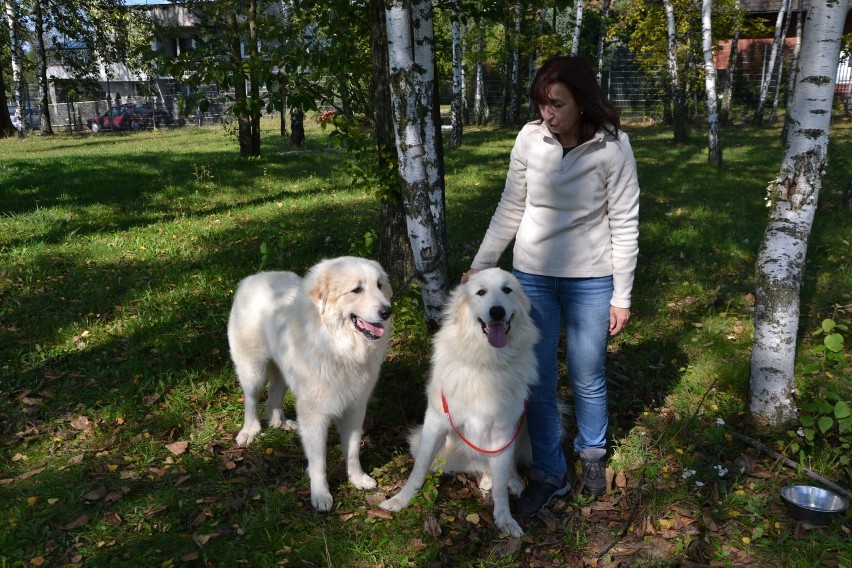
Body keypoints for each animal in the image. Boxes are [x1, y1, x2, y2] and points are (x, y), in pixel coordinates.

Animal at [230, 255, 396, 512]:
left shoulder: (355, 408)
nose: (387, 311)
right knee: (252, 399)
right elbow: (318, 460)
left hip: (281, 369)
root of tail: (252, 278)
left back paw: (281, 422)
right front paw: (321, 495)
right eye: (357, 290)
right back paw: (250, 431)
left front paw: (357, 478)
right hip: (253, 368)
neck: (338, 345)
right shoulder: (315, 413)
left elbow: (353, 450)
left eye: (379, 286)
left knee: (274, 392)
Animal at [382, 268, 540, 536]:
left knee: (505, 466)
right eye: (481, 292)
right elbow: (418, 469)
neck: (486, 361)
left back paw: (512, 481)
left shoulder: (503, 431)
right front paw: (400, 500)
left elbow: (501, 485)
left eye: (507, 290)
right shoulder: (435, 423)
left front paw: (505, 519)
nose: (497, 312)